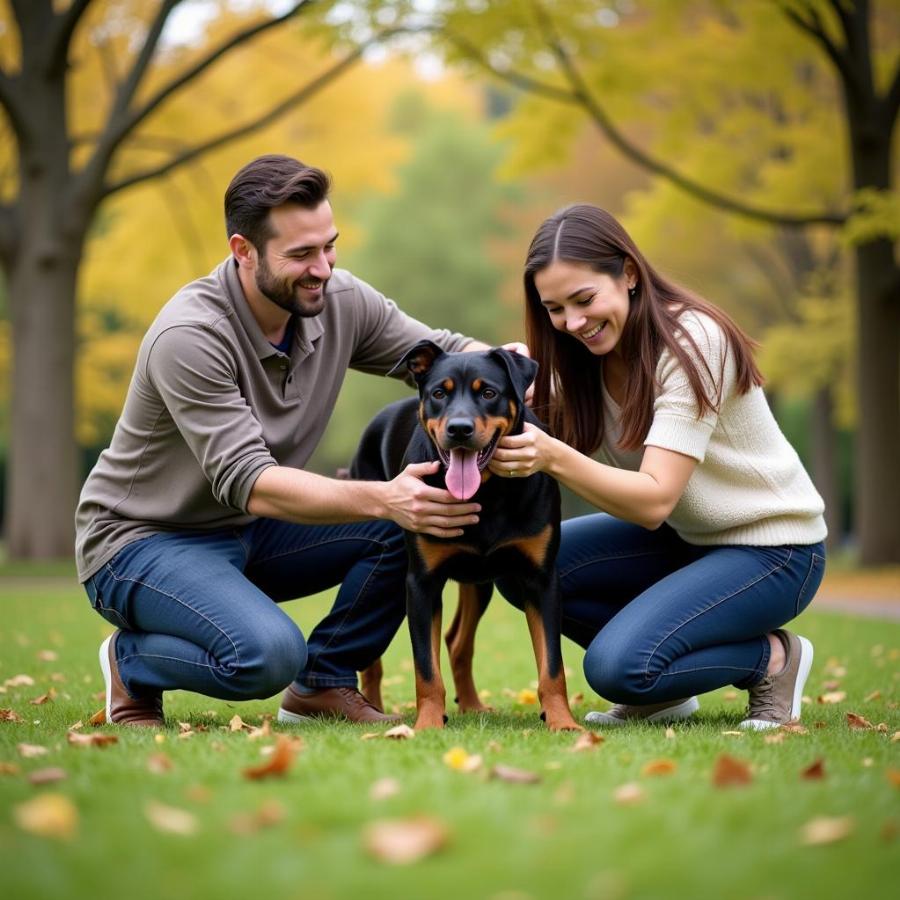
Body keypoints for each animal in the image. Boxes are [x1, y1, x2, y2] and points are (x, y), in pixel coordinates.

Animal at [348, 338, 580, 732]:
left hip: (481, 580)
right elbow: (426, 669)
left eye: (488, 392)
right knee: (373, 658)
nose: (459, 429)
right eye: (439, 393)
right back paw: (376, 707)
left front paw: (563, 722)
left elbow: (552, 666)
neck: (486, 494)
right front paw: (427, 724)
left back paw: (472, 706)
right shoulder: (421, 581)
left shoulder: (542, 579)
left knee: (458, 642)